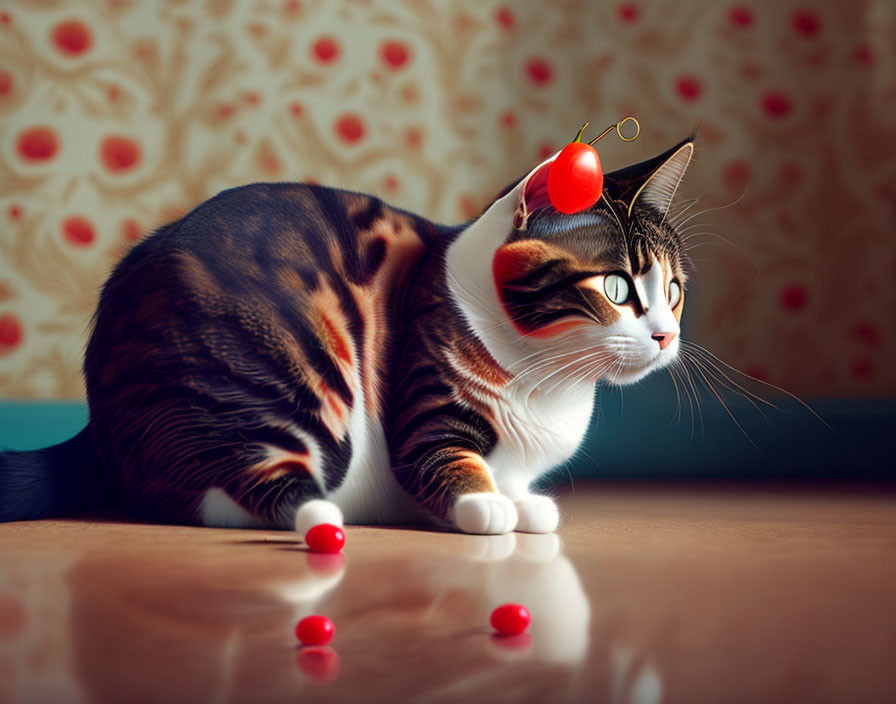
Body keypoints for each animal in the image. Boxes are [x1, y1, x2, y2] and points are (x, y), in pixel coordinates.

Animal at [0, 133, 692, 532]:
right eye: (616, 288)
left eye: (674, 291)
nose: (664, 336)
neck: (551, 385)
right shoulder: (423, 399)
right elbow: (443, 459)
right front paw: (487, 503)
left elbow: (515, 481)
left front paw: (523, 501)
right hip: (274, 377)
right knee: (226, 486)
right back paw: (321, 514)